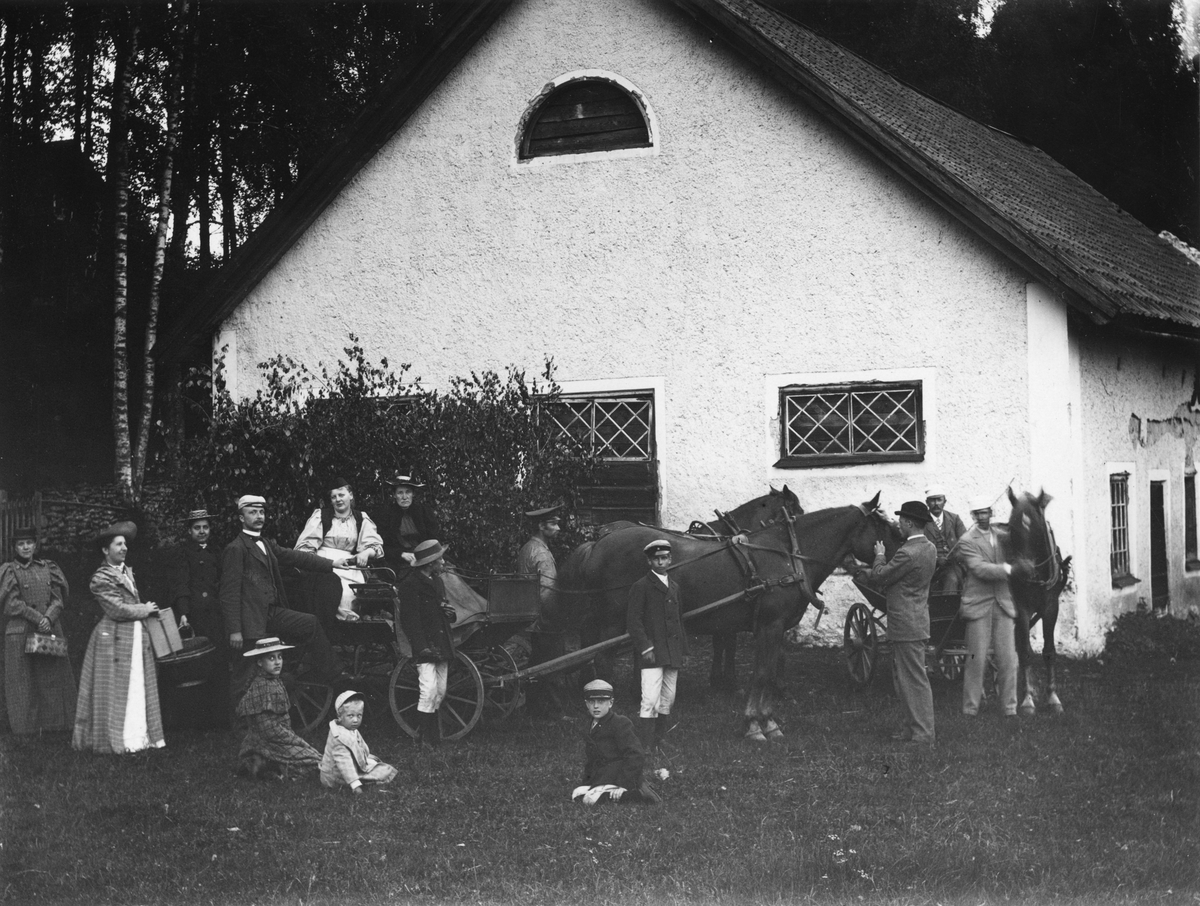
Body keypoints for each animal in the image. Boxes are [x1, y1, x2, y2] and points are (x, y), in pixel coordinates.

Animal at [1005, 488, 1073, 715]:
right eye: (1012, 527)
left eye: (1037, 528)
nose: (1023, 571)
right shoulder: (1021, 609)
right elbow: (1026, 652)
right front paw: (1027, 700)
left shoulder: (1051, 607)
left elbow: (1049, 651)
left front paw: (1053, 698)